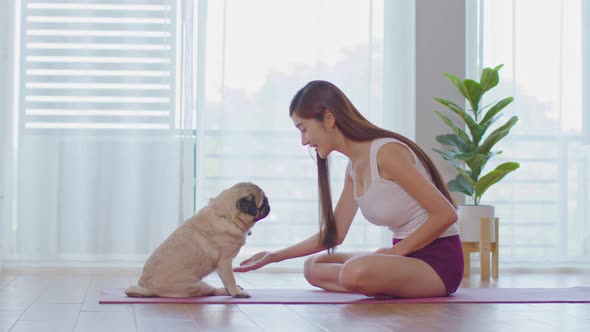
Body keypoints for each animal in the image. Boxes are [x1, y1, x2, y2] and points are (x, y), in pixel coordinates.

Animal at [127, 182, 272, 298]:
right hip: (199, 285)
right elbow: (230, 280)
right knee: (212, 291)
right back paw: (224, 291)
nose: (268, 202)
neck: (225, 216)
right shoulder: (225, 262)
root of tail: (149, 289)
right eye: (263, 203)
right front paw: (236, 292)